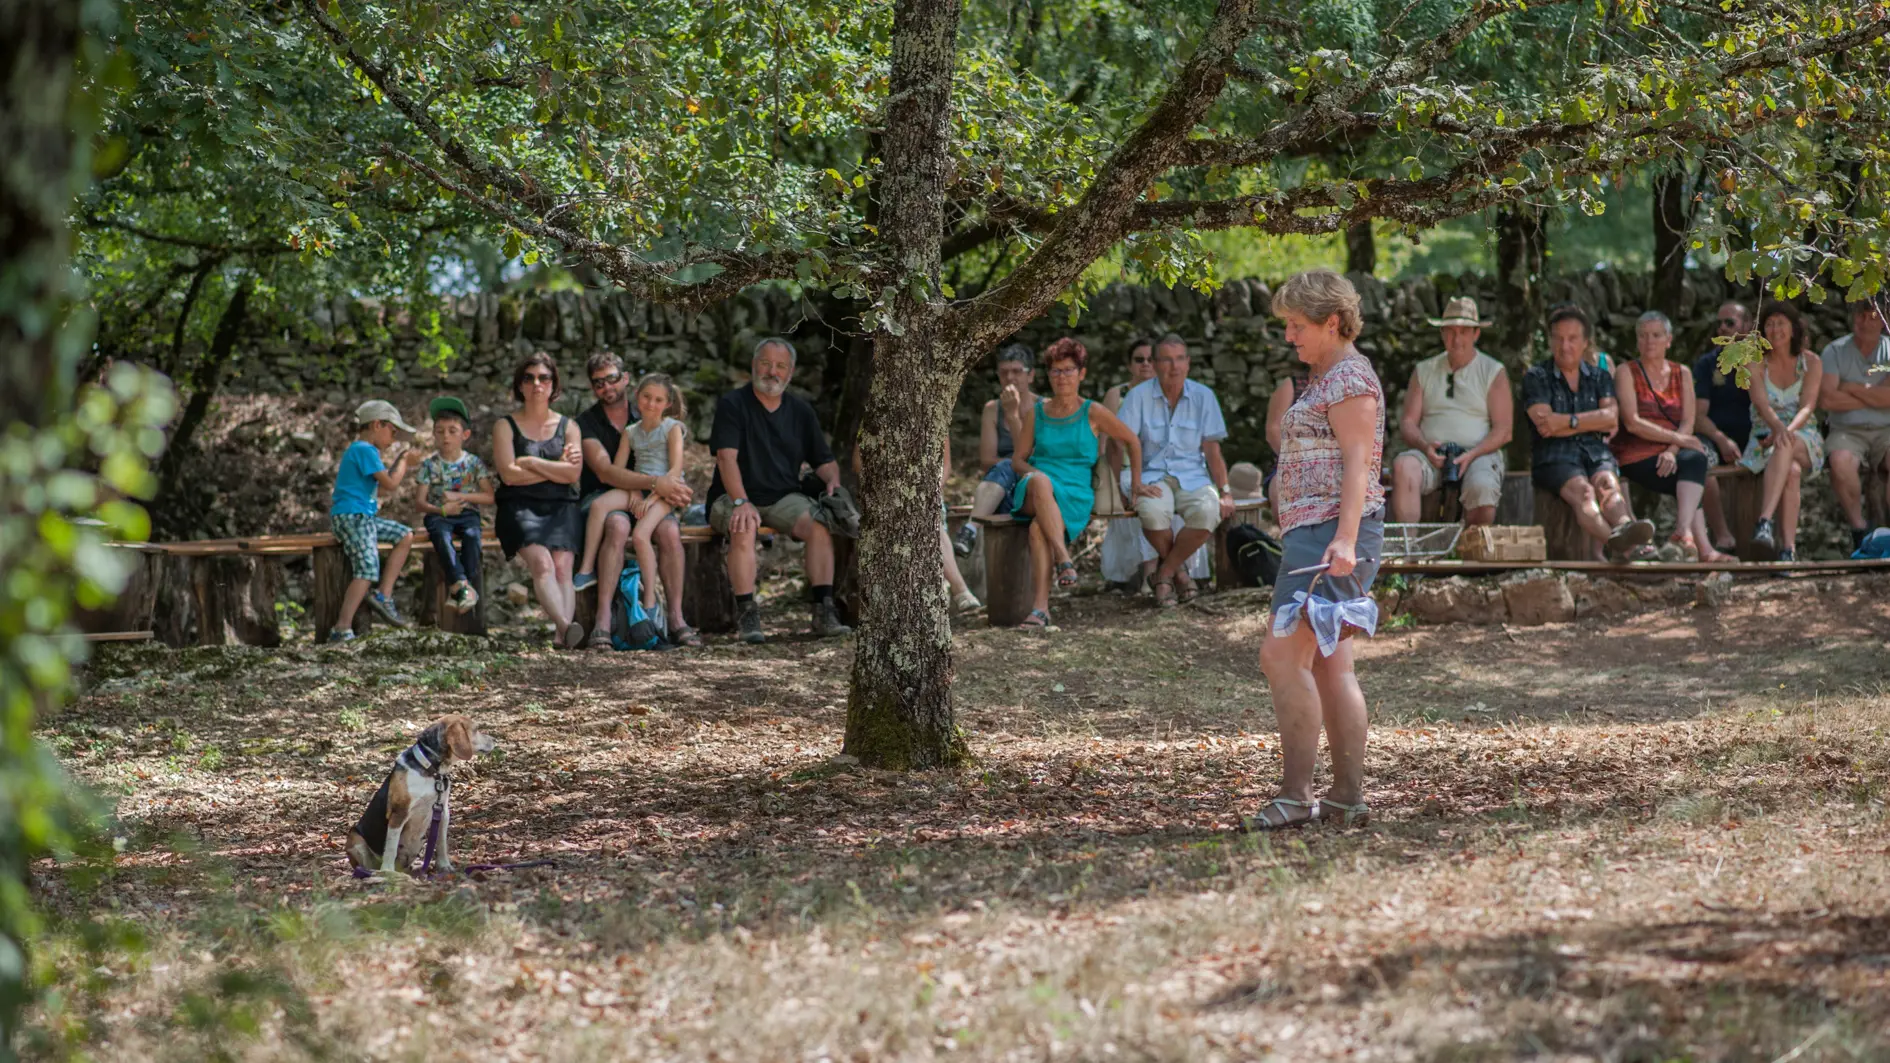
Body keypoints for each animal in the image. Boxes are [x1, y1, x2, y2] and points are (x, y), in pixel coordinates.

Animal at [345, 714, 495, 873]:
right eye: (476, 729)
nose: (495, 740)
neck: (431, 771)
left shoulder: (442, 811)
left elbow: (441, 843)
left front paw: (444, 866)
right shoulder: (399, 813)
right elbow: (391, 848)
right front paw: (388, 872)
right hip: (354, 837)